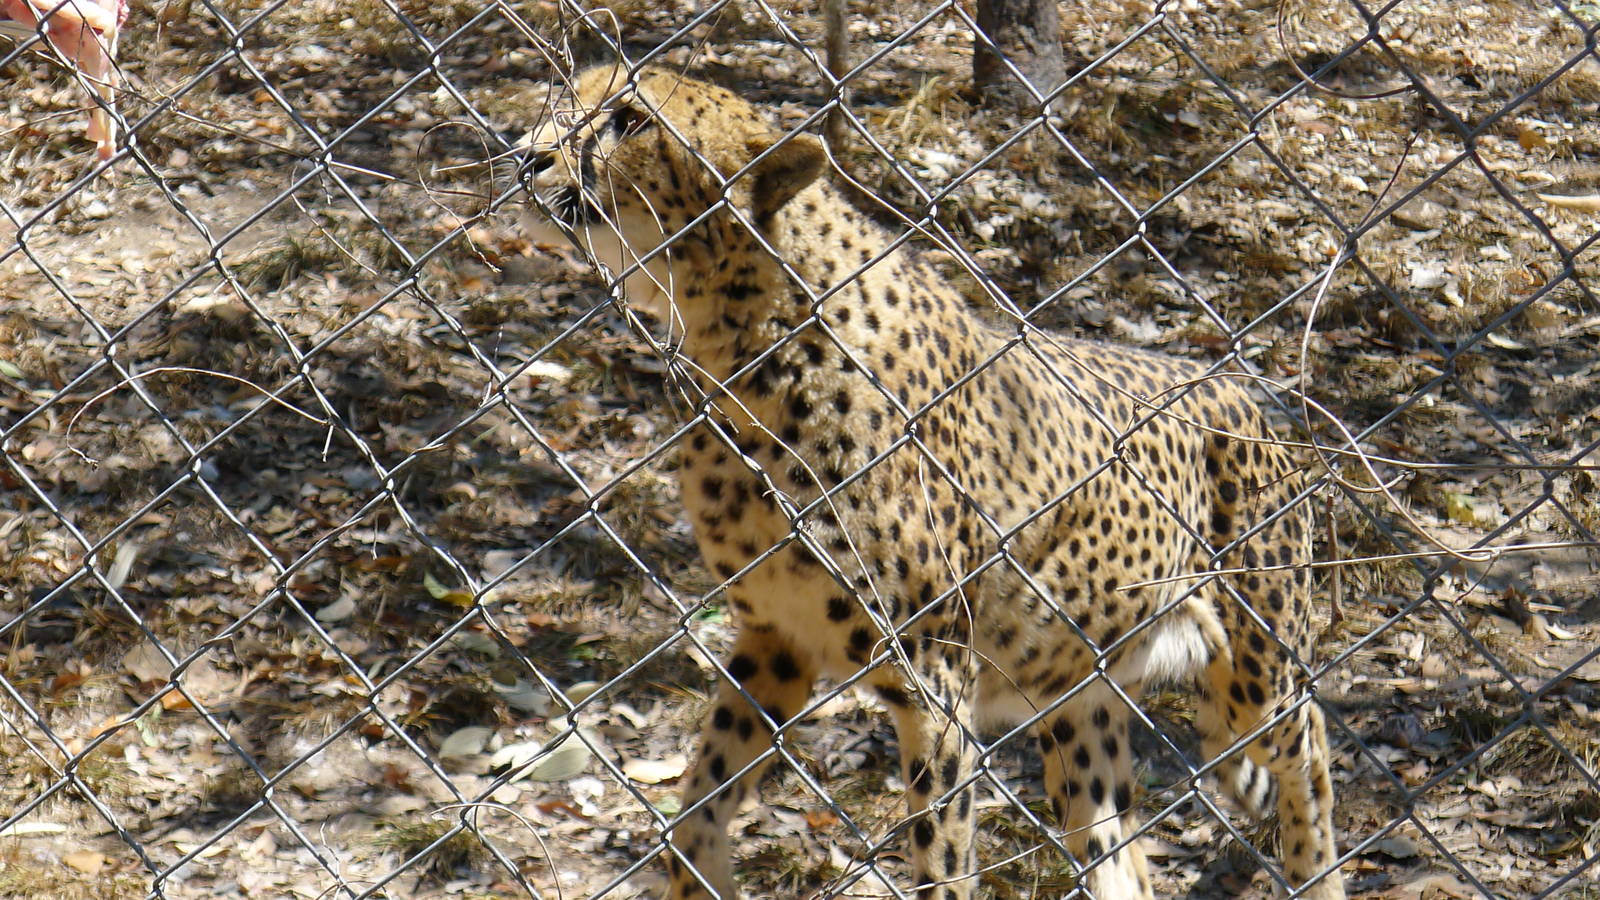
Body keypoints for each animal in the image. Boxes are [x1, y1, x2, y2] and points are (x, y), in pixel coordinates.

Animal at [519, 64, 1346, 900]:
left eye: (628, 119)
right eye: (564, 99)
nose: (526, 155)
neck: (740, 339)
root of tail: (1241, 388)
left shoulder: (934, 678)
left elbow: (941, 859)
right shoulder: (775, 640)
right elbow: (699, 802)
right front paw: (700, 874)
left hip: (1258, 671)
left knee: (1310, 752)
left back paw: (1317, 870)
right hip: (1078, 696)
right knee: (1120, 849)